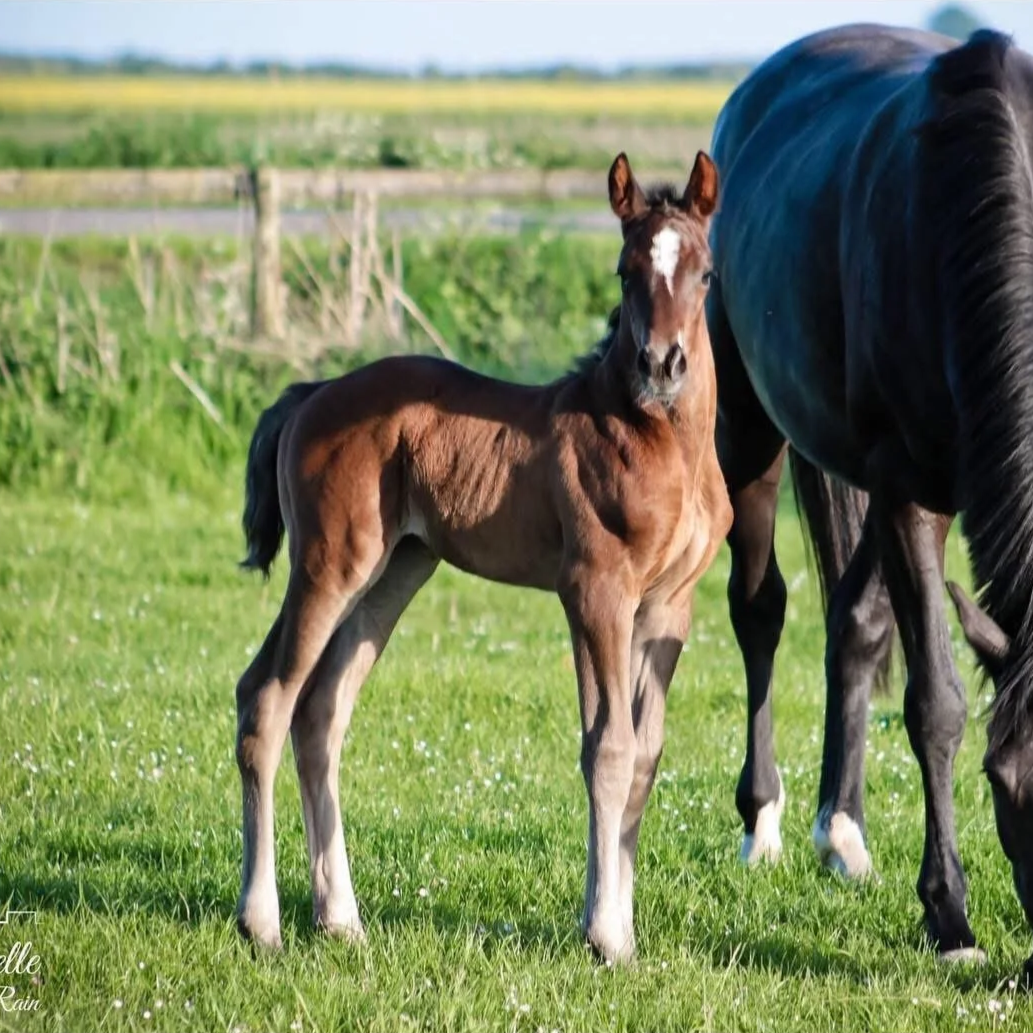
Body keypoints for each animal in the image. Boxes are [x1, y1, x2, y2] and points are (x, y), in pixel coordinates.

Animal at [232, 150, 732, 964]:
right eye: (625, 271)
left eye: (705, 272)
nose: (662, 365)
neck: (657, 439)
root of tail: (313, 391)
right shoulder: (594, 590)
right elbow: (608, 748)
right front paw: (605, 936)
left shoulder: (669, 603)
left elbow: (646, 755)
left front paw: (617, 924)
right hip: (330, 562)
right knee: (267, 699)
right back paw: (262, 920)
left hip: (395, 571)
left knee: (321, 712)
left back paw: (340, 917)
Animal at [707, 22, 1033, 971]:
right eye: (1007, 786)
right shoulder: (908, 492)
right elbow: (935, 704)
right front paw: (951, 920)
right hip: (749, 424)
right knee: (759, 609)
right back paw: (765, 820)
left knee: (853, 619)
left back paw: (841, 829)